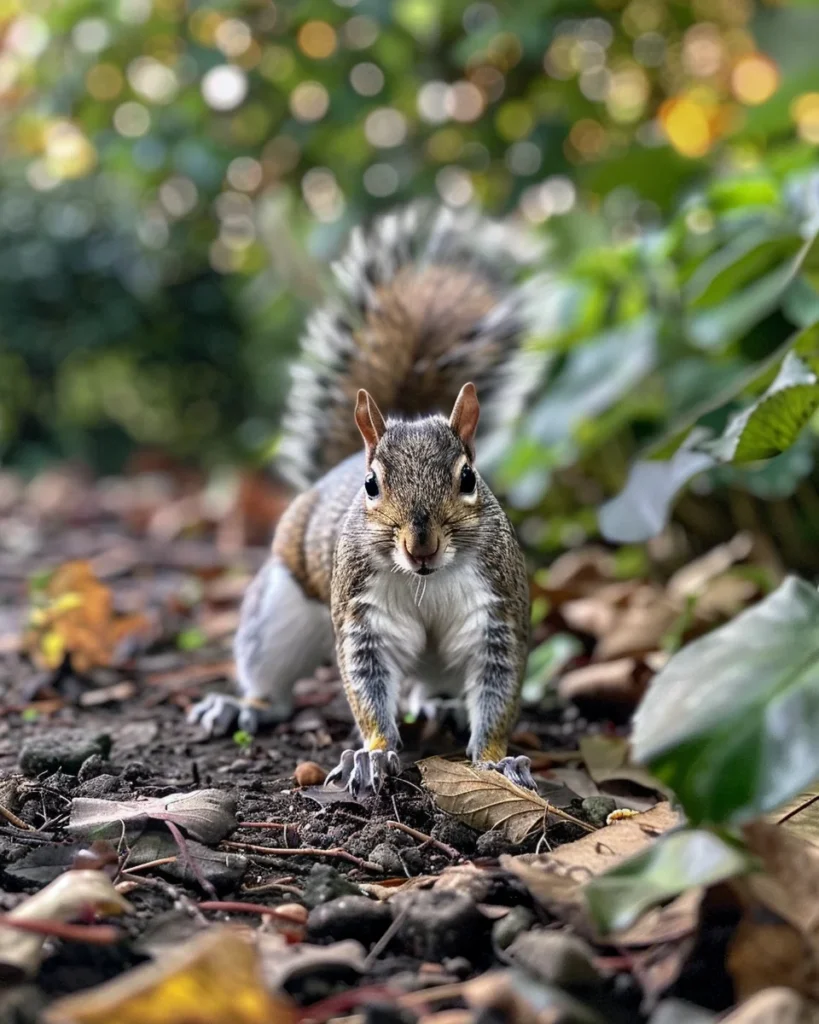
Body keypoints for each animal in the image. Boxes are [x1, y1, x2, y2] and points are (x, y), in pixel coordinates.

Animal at [189, 202, 543, 795]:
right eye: (372, 484)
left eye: (468, 477)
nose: (421, 546)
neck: (426, 582)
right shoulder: (363, 616)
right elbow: (367, 685)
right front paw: (373, 756)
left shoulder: (497, 614)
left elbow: (499, 691)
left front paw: (498, 762)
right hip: (280, 608)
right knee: (274, 684)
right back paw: (244, 706)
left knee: (436, 686)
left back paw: (443, 706)